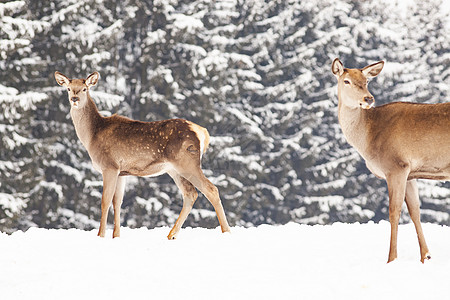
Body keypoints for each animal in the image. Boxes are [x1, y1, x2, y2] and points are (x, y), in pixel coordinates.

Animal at [55, 70, 232, 239]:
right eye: (68, 88)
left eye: (85, 88)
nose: (75, 98)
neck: (92, 135)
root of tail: (202, 131)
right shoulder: (121, 172)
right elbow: (117, 202)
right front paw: (116, 236)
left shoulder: (109, 166)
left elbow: (105, 201)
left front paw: (100, 235)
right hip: (174, 169)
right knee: (190, 194)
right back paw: (171, 235)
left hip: (187, 162)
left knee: (211, 189)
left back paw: (226, 232)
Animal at [330, 58, 450, 262]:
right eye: (346, 81)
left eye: (366, 81)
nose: (368, 99)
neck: (367, 140)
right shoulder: (410, 173)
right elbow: (415, 211)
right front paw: (425, 256)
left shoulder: (395, 166)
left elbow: (394, 212)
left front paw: (391, 258)